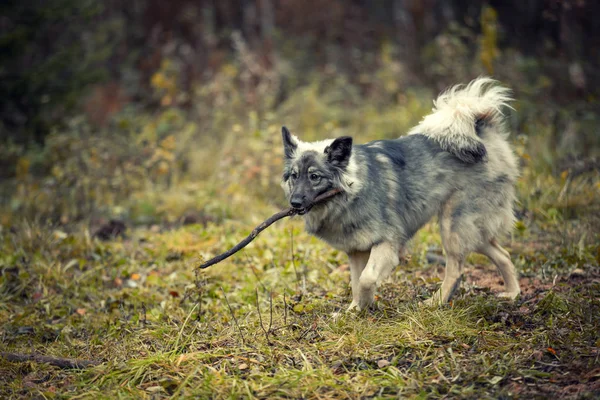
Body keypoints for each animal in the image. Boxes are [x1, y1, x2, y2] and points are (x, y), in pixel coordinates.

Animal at [282, 77, 520, 310]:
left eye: (315, 177)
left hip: (453, 226)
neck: (351, 192)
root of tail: (481, 131)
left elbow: (366, 279)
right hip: (472, 230)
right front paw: (355, 311)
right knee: (503, 255)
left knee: (456, 269)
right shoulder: (357, 250)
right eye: (294, 176)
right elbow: (356, 282)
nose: (294, 203)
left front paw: (365, 305)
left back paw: (435, 302)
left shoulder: (387, 243)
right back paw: (513, 294)